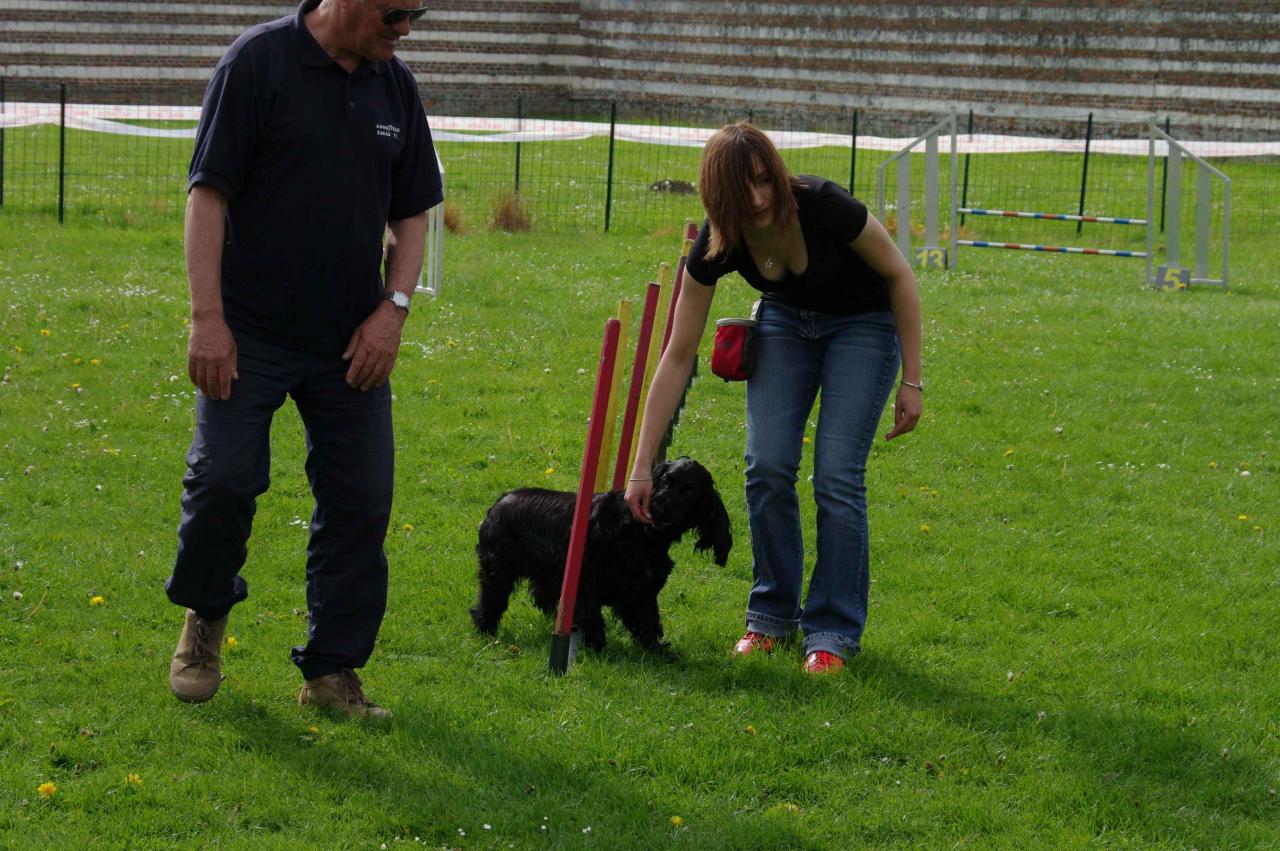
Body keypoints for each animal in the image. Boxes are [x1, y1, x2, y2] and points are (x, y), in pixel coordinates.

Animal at [471, 458, 732, 650]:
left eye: (689, 491)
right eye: (666, 481)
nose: (658, 509)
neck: (643, 535)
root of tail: (498, 502)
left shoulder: (642, 590)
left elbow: (648, 620)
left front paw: (657, 651)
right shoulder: (586, 581)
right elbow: (593, 617)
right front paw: (597, 648)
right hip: (498, 571)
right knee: (488, 603)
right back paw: (486, 632)